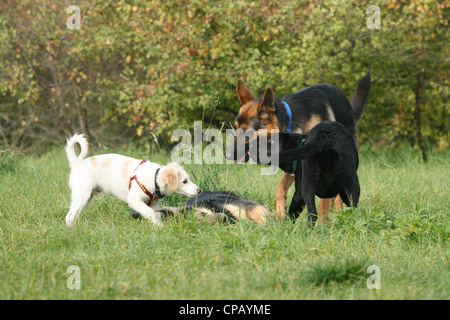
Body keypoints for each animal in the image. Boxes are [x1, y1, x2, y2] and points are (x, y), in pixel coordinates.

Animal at [64, 134, 200, 226]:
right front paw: (159, 227)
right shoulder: (134, 200)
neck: (154, 178)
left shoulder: (154, 204)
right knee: (69, 216)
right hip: (82, 195)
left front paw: (159, 226)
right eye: (184, 181)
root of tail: (78, 163)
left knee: (74, 215)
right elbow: (150, 213)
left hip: (85, 198)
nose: (199, 190)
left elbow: (157, 214)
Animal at [224, 72, 370, 222]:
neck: (290, 122)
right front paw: (280, 213)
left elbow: (323, 203)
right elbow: (280, 189)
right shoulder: (295, 164)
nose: (227, 155)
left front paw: (323, 222)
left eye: (246, 133)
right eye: (235, 128)